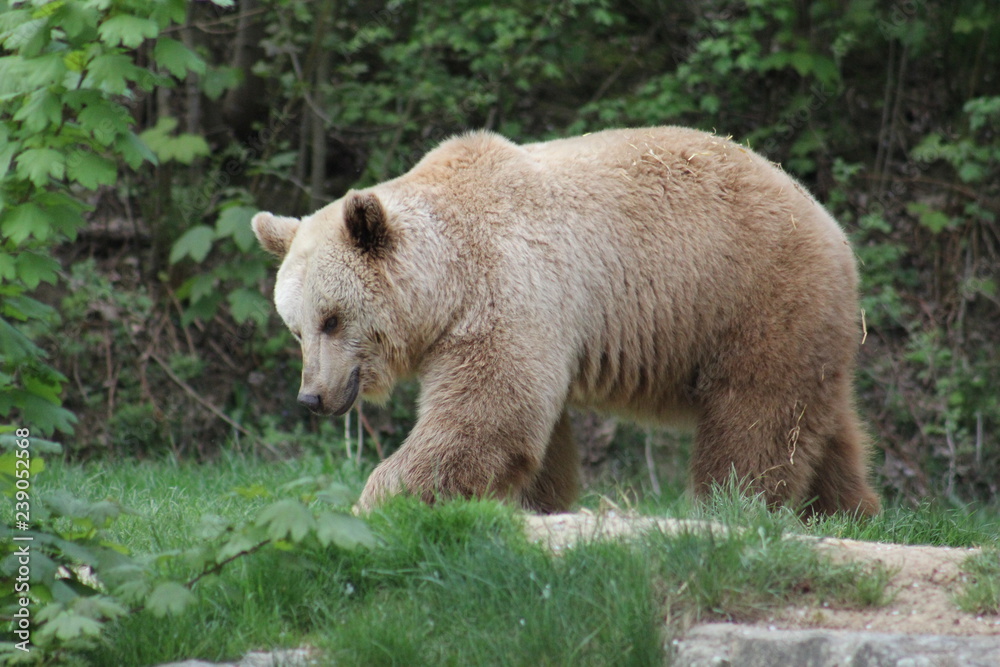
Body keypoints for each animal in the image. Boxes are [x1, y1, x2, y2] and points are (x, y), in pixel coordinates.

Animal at [252, 126, 881, 517]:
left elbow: (485, 420)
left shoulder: (512, 289)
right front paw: (533, 504)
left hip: (755, 298)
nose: (312, 397)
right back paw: (849, 513)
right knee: (826, 430)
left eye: (332, 319)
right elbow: (532, 437)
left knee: (755, 422)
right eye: (296, 327)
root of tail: (832, 227)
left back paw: (728, 508)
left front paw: (375, 504)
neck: (449, 283)